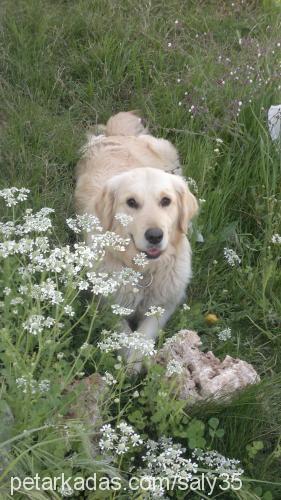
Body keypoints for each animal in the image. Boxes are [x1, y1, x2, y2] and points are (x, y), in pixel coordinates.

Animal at [74, 112, 197, 372]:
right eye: (131, 202)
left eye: (166, 201)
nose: (155, 235)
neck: (144, 271)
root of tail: (116, 135)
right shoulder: (105, 301)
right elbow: (122, 329)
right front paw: (129, 365)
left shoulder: (168, 301)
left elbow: (146, 330)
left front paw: (136, 360)